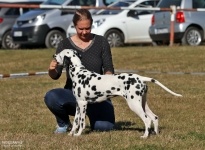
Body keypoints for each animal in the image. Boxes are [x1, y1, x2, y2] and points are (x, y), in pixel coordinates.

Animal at [53, 49, 183, 138]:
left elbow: (81, 122)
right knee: (154, 117)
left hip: (134, 105)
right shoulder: (78, 104)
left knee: (147, 120)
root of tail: (140, 77)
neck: (79, 73)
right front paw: (71, 133)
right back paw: (155, 134)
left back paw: (145, 136)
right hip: (143, 104)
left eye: (59, 54)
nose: (53, 55)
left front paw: (78, 134)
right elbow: (76, 121)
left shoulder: (83, 103)